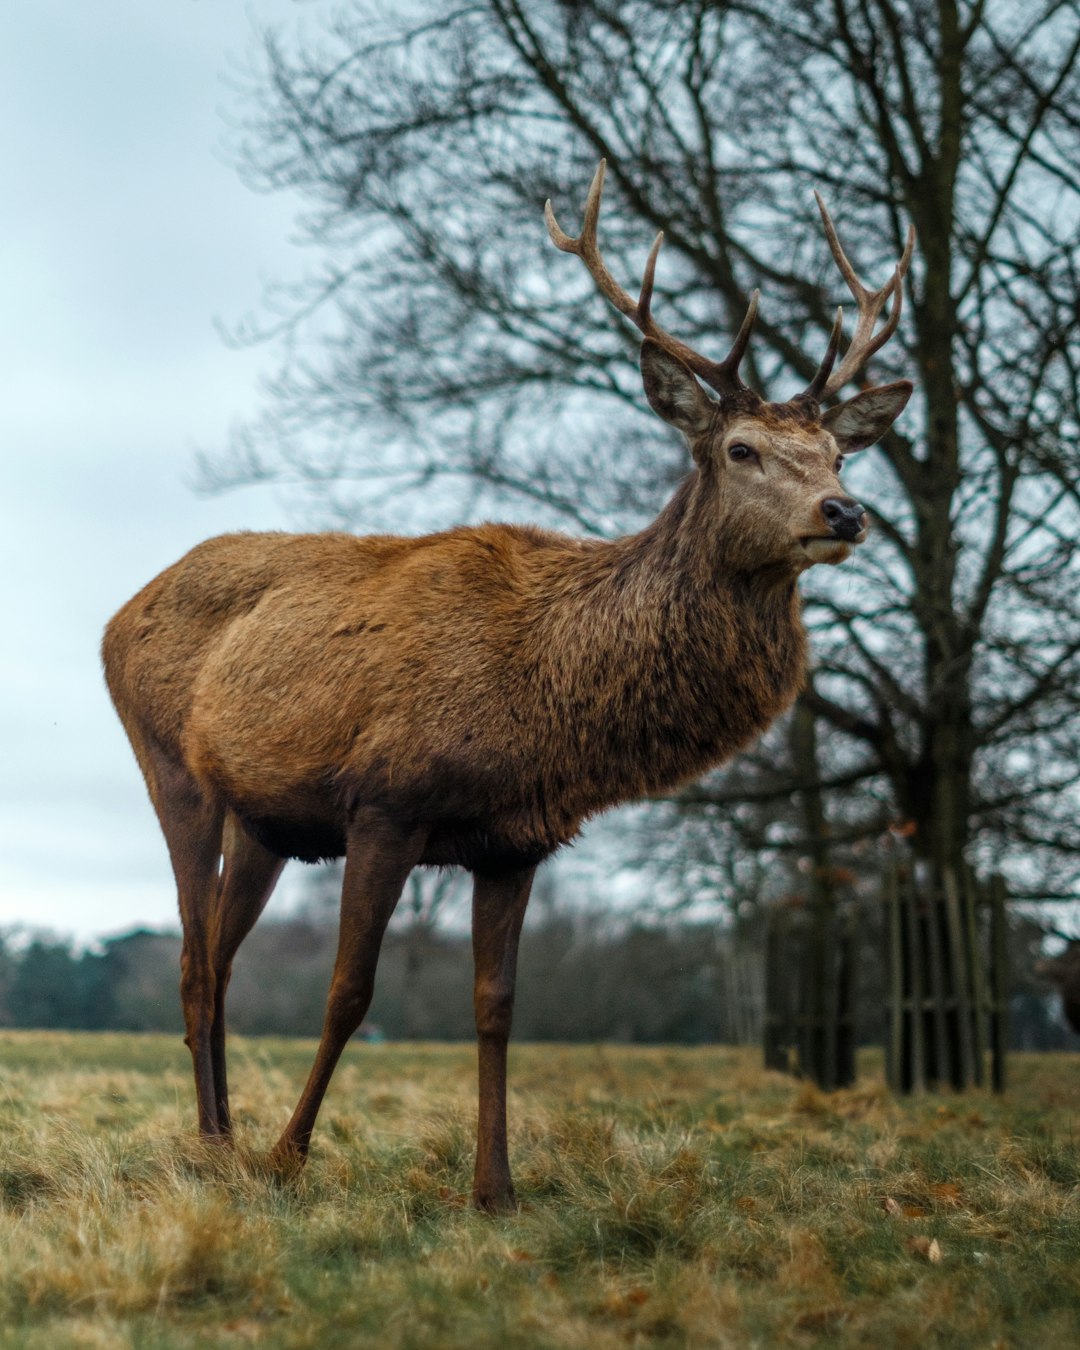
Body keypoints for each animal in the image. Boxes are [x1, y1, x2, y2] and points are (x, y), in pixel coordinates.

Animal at [99, 163, 912, 1220]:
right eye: (741, 449)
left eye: (839, 455)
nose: (845, 511)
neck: (544, 703)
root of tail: (116, 615)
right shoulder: (386, 802)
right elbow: (350, 991)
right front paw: (290, 1157)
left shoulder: (515, 840)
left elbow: (497, 1008)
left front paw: (495, 1189)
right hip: (172, 772)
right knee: (195, 963)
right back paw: (215, 1147)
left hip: (268, 821)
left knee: (223, 960)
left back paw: (222, 1135)